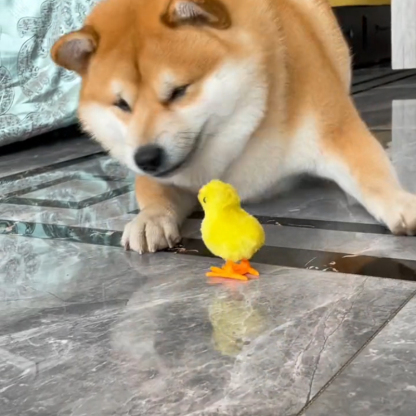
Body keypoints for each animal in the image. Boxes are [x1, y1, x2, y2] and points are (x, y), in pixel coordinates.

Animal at [51, 0, 416, 254]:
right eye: (122, 104)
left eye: (179, 91)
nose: (147, 157)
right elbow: (152, 191)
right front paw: (148, 219)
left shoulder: (333, 129)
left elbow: (369, 174)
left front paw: (400, 203)